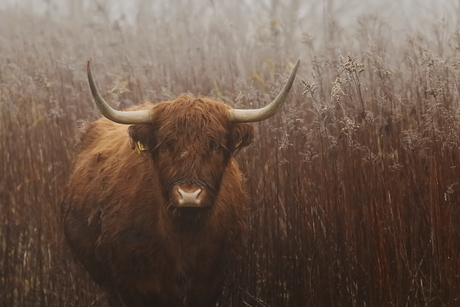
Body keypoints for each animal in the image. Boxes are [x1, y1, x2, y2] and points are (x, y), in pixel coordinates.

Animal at [60, 60, 298, 307]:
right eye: (166, 144)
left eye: (214, 145)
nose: (189, 194)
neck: (184, 238)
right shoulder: (127, 286)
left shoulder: (212, 284)